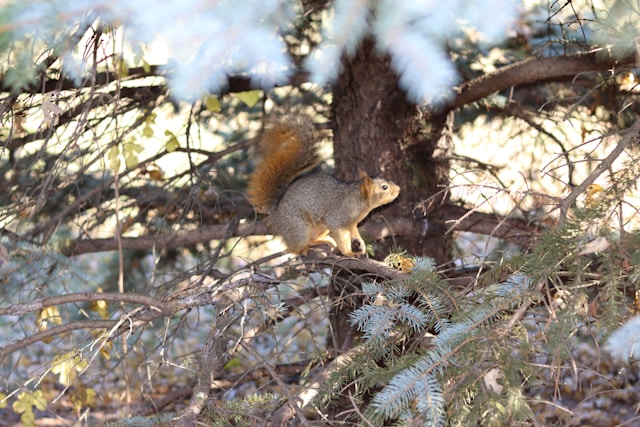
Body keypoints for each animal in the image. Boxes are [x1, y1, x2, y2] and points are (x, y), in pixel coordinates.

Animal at [246, 115, 400, 258]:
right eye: (384, 187)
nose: (399, 189)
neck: (359, 200)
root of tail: (275, 212)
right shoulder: (338, 220)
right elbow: (342, 238)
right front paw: (349, 253)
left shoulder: (352, 224)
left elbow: (355, 233)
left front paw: (360, 243)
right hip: (298, 227)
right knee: (293, 247)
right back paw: (302, 250)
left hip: (320, 227)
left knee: (311, 240)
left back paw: (324, 241)